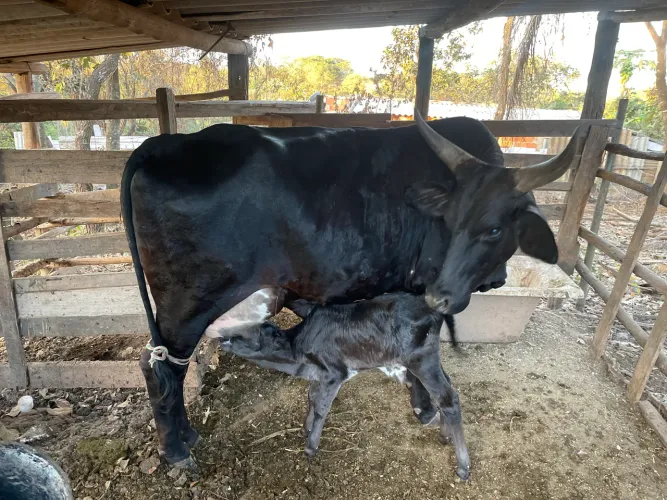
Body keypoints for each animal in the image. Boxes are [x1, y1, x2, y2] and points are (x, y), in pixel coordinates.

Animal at [219, 292, 471, 479]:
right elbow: (311, 397)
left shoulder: (334, 373)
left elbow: (321, 408)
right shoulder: (320, 375)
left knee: (448, 398)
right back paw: (444, 435)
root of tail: (433, 308)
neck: (298, 354)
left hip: (420, 360)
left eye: (244, 331)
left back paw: (463, 466)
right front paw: (304, 428)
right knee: (445, 389)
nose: (221, 336)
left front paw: (310, 447)